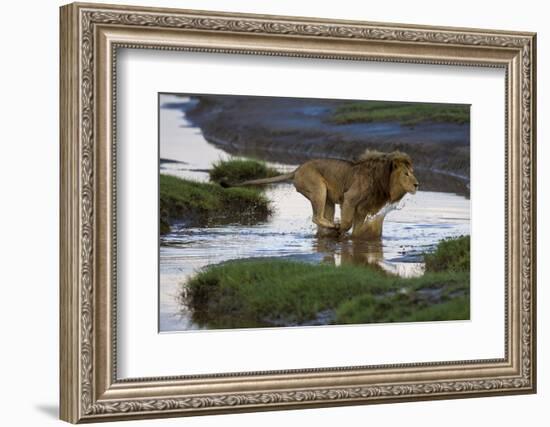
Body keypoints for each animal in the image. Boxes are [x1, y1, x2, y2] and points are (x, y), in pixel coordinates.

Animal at [235, 150, 420, 237]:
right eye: (406, 174)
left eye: (413, 172)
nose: (417, 184)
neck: (384, 180)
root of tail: (297, 169)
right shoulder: (349, 199)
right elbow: (347, 223)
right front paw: (340, 232)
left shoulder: (362, 209)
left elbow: (357, 229)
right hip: (318, 189)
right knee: (316, 217)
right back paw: (333, 228)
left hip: (328, 201)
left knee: (322, 218)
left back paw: (327, 232)